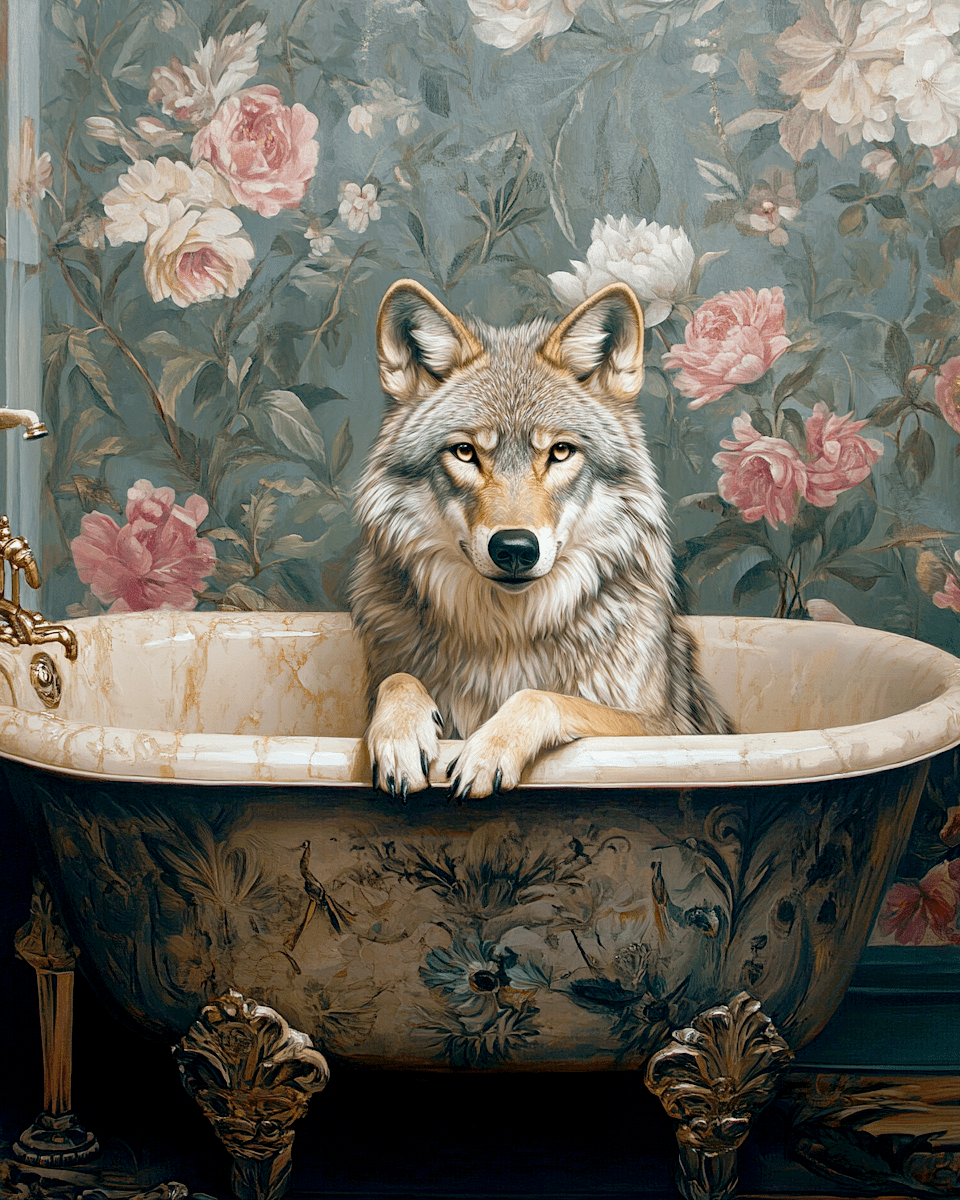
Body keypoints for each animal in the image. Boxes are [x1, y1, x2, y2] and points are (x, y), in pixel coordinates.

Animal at [349, 278, 732, 801]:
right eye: (465, 452)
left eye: (560, 451)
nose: (514, 548)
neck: (508, 635)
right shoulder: (382, 677)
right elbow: (400, 679)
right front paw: (400, 737)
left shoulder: (664, 731)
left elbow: (543, 697)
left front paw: (487, 750)